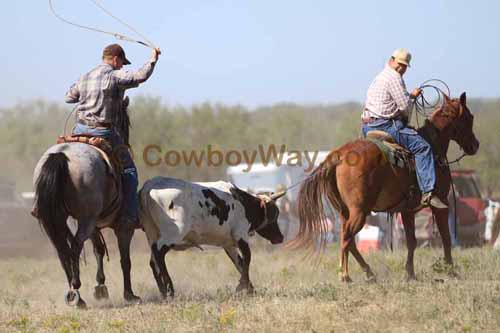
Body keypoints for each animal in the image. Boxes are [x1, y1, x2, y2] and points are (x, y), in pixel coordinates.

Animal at [292, 92, 480, 280]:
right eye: (469, 117)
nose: (475, 145)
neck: (434, 147)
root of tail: (340, 154)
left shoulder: (407, 210)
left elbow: (411, 241)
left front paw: (410, 273)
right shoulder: (441, 204)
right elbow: (446, 237)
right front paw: (451, 271)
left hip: (344, 211)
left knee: (349, 239)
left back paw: (369, 273)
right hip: (359, 211)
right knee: (346, 237)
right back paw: (345, 275)